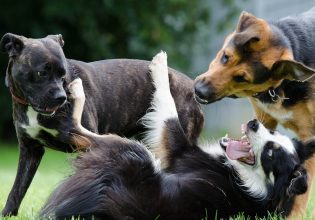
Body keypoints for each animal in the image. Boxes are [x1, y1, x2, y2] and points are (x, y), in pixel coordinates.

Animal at [0, 33, 205, 216]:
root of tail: (192, 88)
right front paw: (8, 213)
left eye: (62, 75)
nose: (61, 97)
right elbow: (18, 188)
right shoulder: (30, 150)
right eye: (41, 73)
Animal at [41, 52, 315, 220]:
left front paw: (160, 66)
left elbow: (168, 108)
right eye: (273, 133)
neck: (252, 184)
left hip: (133, 150)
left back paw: (76, 91)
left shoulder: (179, 150)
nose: (254, 123)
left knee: (77, 130)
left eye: (269, 154)